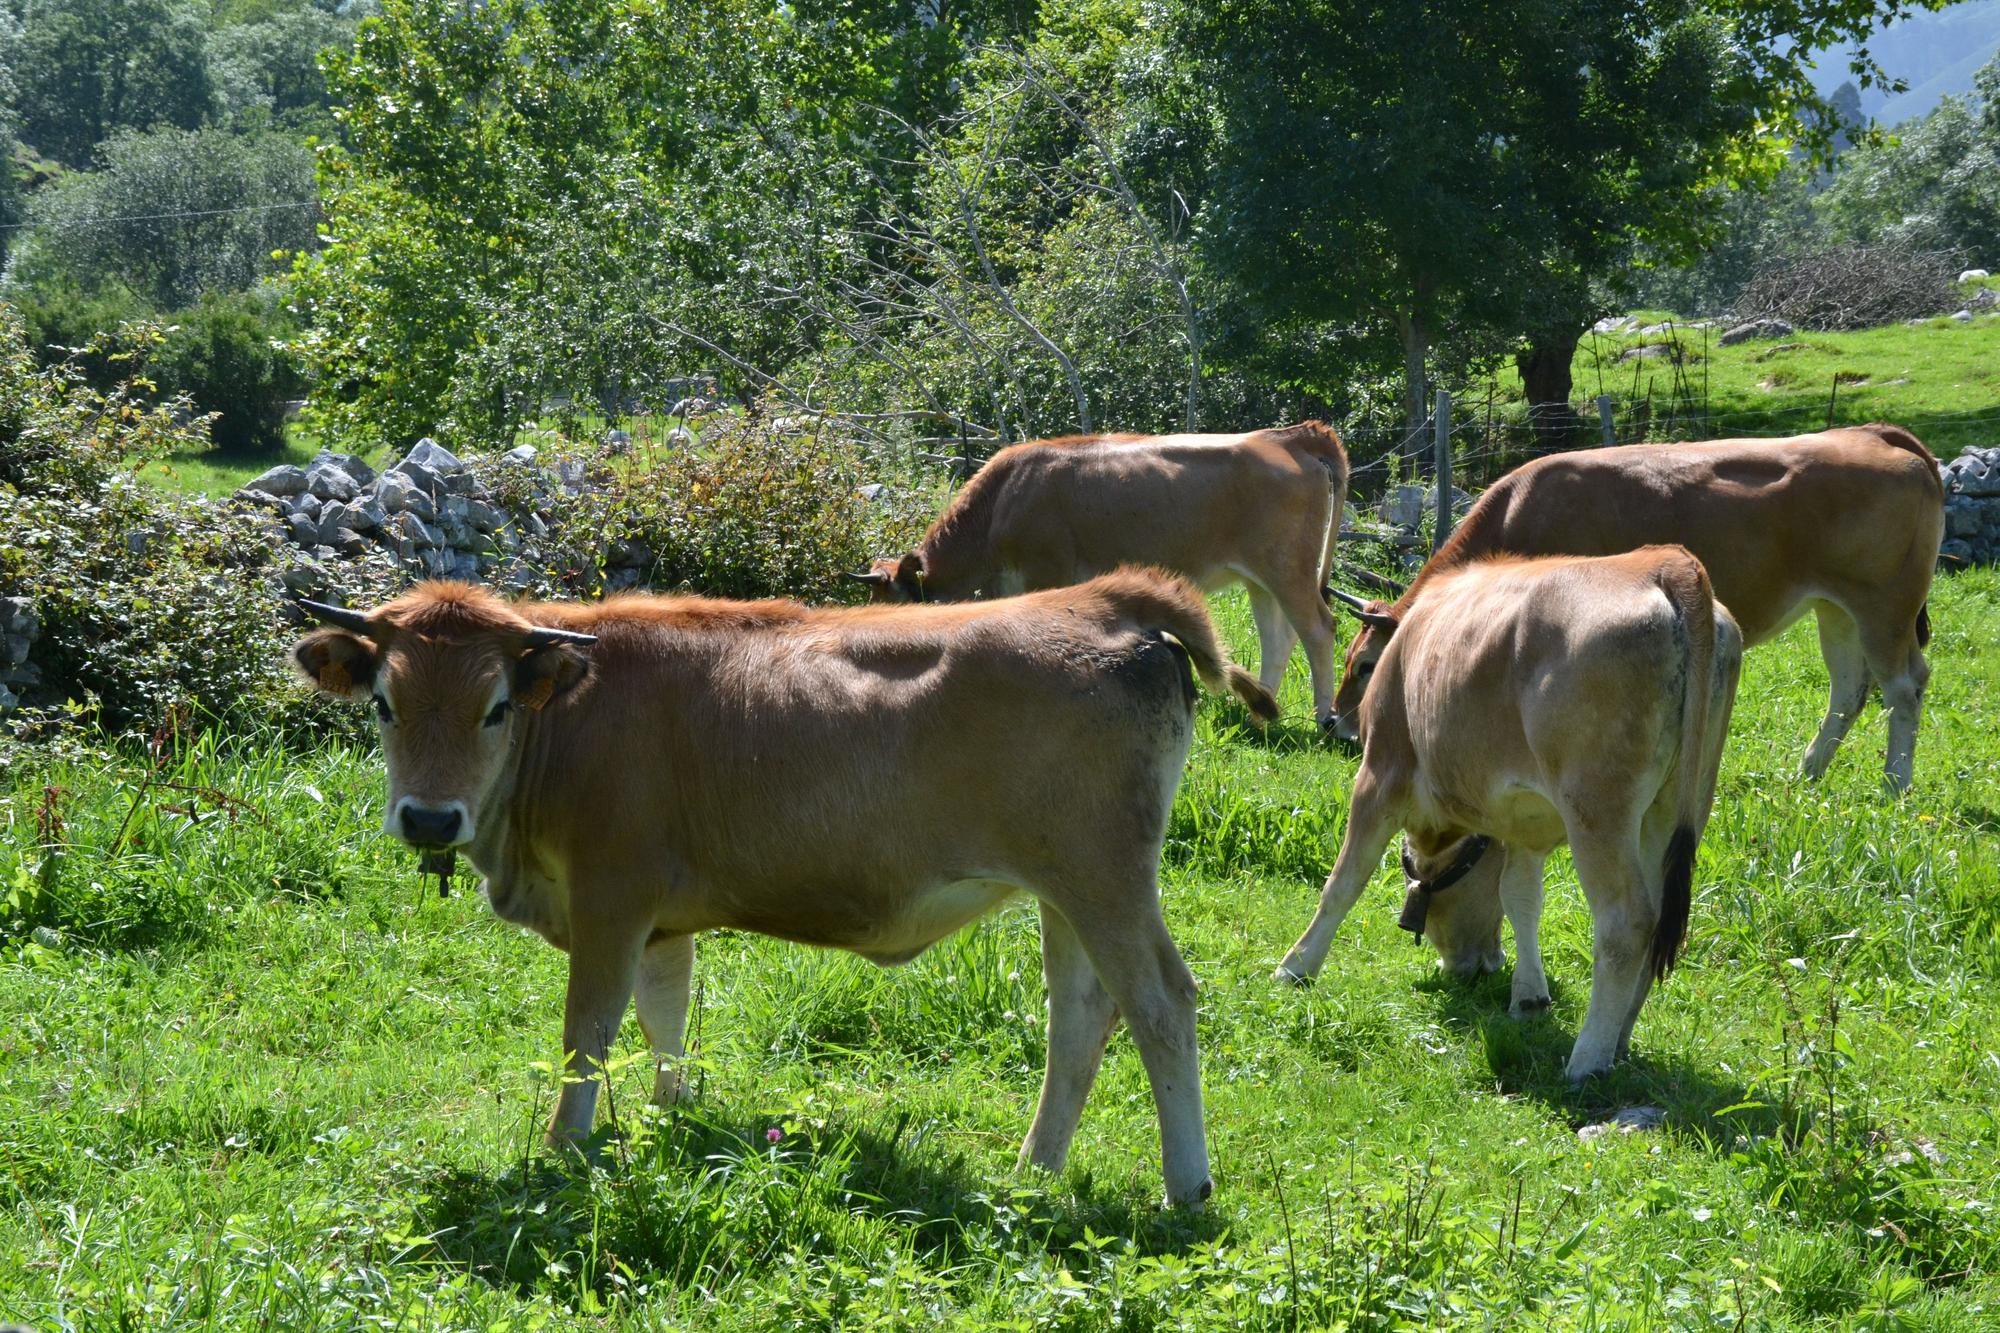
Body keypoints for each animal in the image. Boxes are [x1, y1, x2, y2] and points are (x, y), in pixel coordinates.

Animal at [290, 572, 1272, 1200]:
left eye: (495, 706)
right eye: (384, 702)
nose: (428, 818)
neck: (570, 718)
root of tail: (1101, 599)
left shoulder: (611, 896)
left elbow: (588, 1031)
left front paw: (565, 1146)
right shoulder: (659, 917)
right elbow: (665, 1013)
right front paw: (671, 1120)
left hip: (1106, 878)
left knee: (1160, 1002)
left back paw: (1186, 1186)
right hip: (1064, 890)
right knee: (1080, 1015)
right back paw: (1034, 1167)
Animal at [856, 422, 1344, 728]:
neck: (1001, 502)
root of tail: (1289, 436)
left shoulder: (1046, 570)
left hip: (1287, 569)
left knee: (1318, 629)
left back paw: (1323, 717)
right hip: (1259, 578)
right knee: (1278, 638)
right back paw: (1260, 711)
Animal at [1280, 544, 1736, 1072]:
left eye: (1363, 666)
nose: (1476, 965)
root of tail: (1664, 562)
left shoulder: (1380, 773)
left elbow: (1344, 880)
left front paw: (1296, 966)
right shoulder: (1524, 825)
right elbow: (1520, 898)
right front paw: (1528, 996)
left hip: (1599, 809)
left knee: (1627, 922)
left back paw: (1588, 1058)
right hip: (1680, 803)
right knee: (1661, 918)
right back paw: (1619, 1041)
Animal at [1328, 420, 1936, 784]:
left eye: (1366, 665)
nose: (1334, 724)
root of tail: (1874, 433)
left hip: (1885, 606)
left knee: (1903, 687)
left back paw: (1894, 784)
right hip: (1836, 609)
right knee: (1850, 689)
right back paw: (1809, 771)